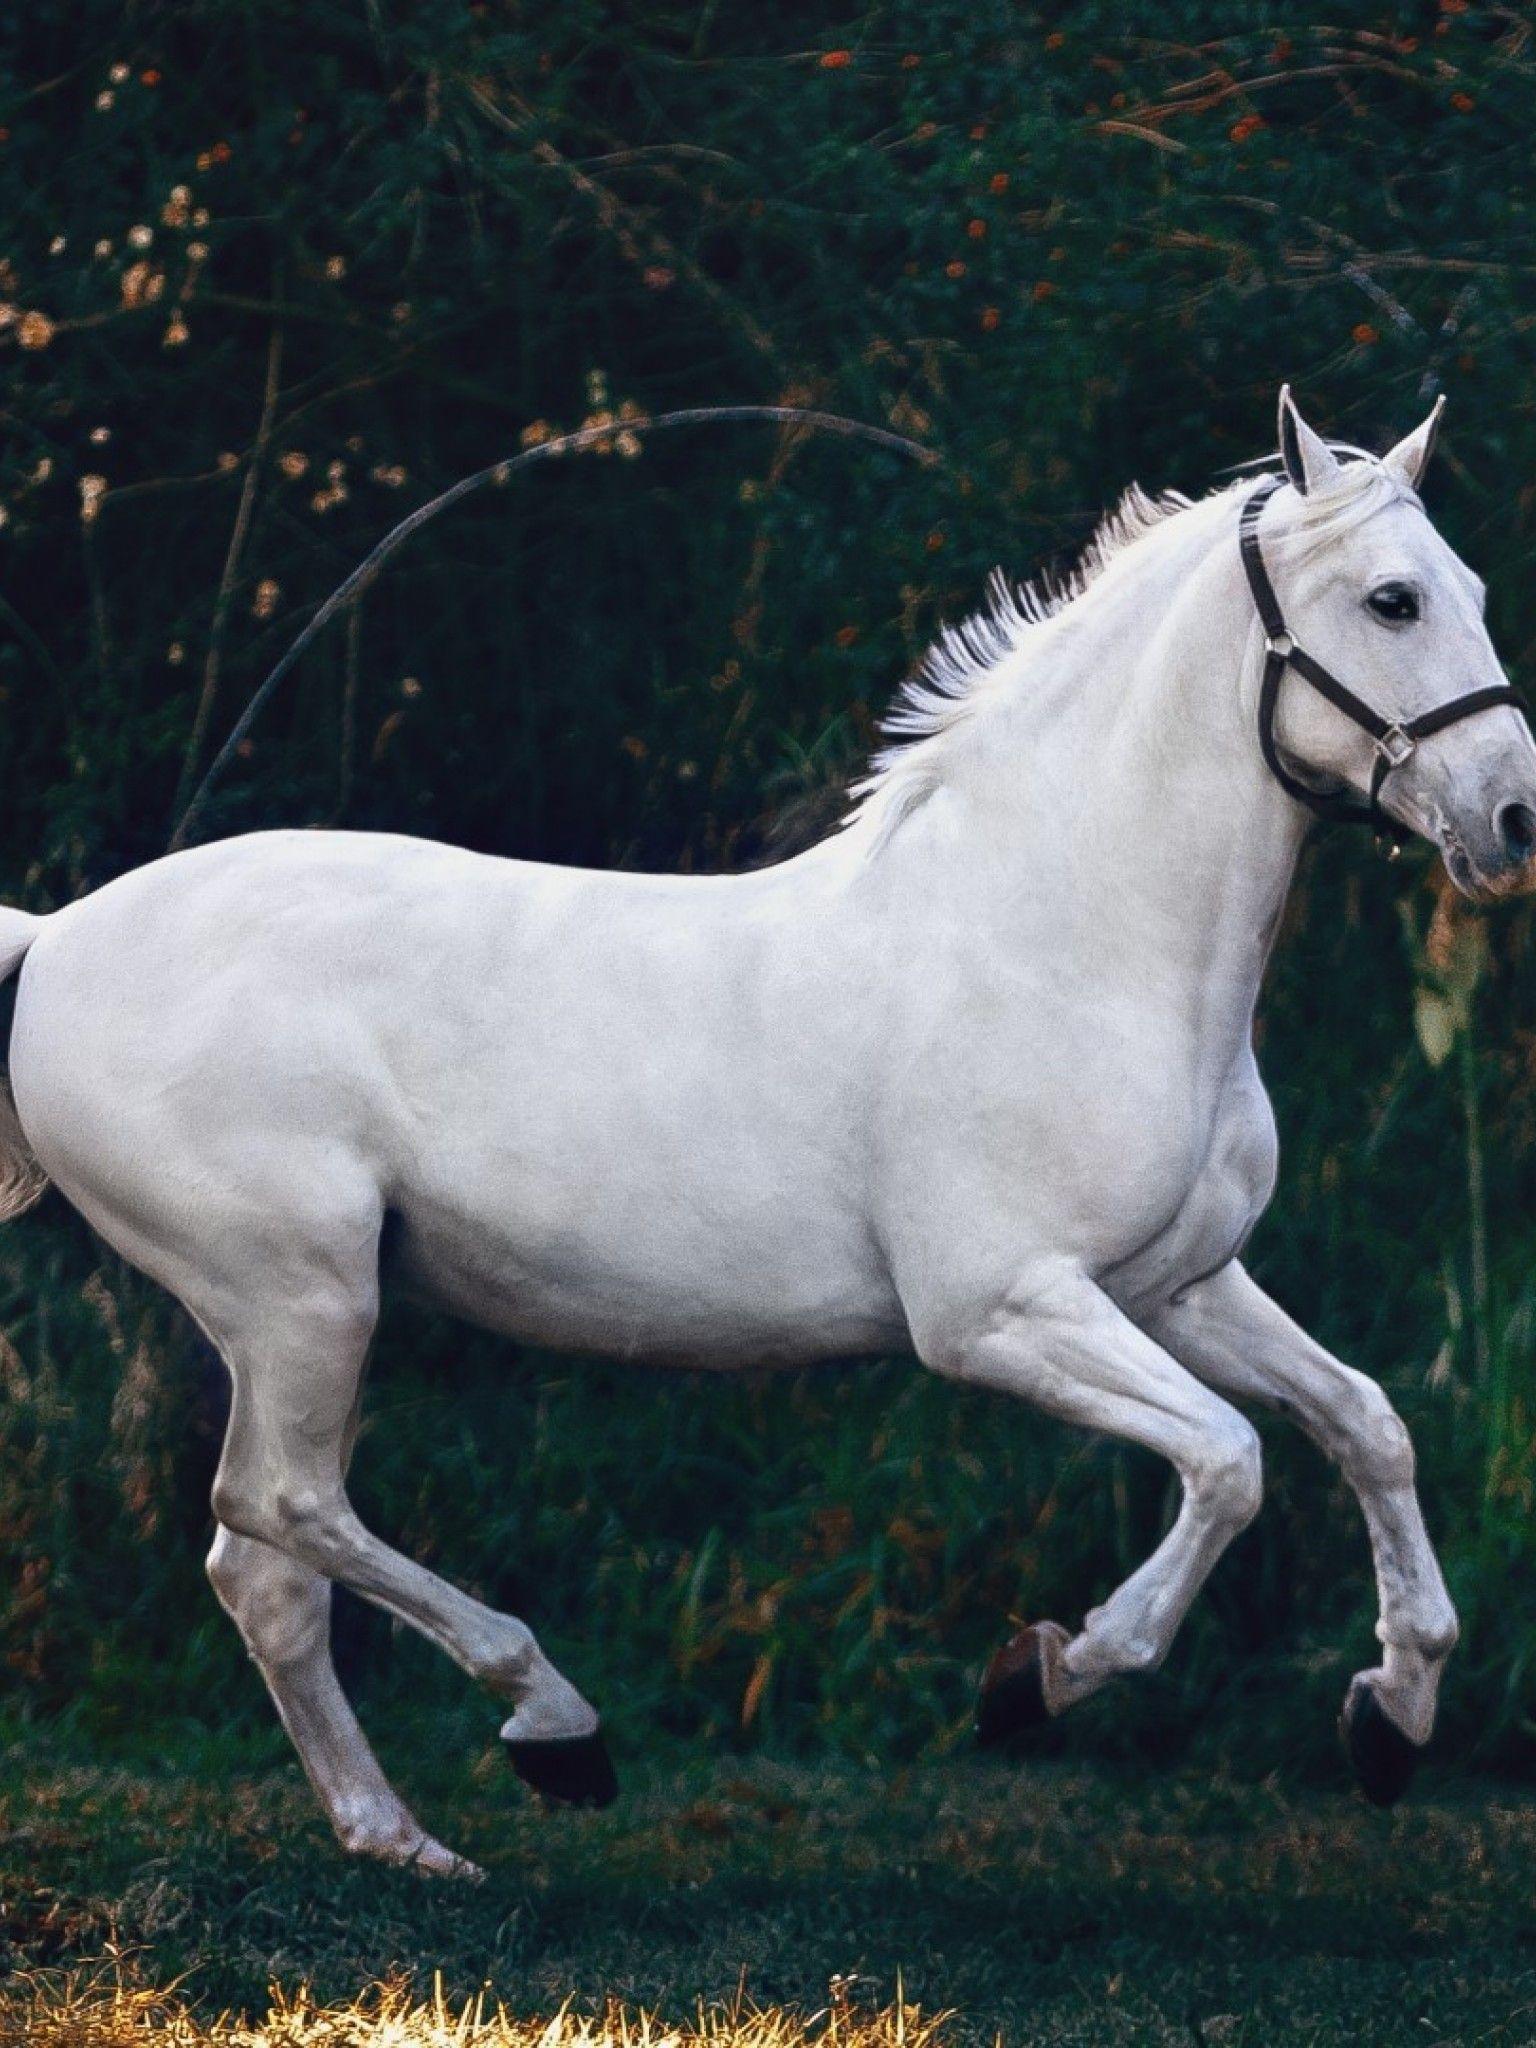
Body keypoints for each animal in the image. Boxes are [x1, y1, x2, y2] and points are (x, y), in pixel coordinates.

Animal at [1, 388, 1531, 1877]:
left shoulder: (1176, 1285)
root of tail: (58, 938)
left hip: (296, 1312)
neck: (1060, 936)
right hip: (299, 1297)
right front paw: (1041, 1673)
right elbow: (1230, 1462)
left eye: (1470, 586)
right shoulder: (998, 1312)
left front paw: (1393, 1714)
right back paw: (552, 1726)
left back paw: (406, 1839)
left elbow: (1367, 1423)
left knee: (262, 1569)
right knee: (282, 1512)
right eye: (1394, 600)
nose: (1511, 822)